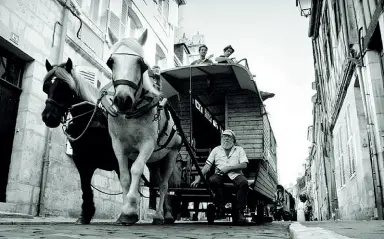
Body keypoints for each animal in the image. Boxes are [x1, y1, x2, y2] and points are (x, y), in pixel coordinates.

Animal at [40, 58, 178, 224]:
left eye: (65, 87)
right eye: (46, 87)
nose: (48, 117)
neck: (92, 122)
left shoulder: (119, 161)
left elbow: (127, 181)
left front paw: (128, 212)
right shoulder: (82, 161)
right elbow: (85, 186)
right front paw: (86, 214)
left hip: (168, 157)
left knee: (164, 185)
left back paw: (165, 215)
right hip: (154, 162)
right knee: (159, 183)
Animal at [106, 29, 182, 226]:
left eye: (141, 64)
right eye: (111, 62)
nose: (122, 100)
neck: (130, 115)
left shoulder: (147, 144)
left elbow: (136, 170)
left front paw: (129, 210)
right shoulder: (118, 146)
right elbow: (125, 176)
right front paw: (124, 210)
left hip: (171, 155)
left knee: (164, 185)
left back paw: (160, 216)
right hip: (154, 161)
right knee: (156, 182)